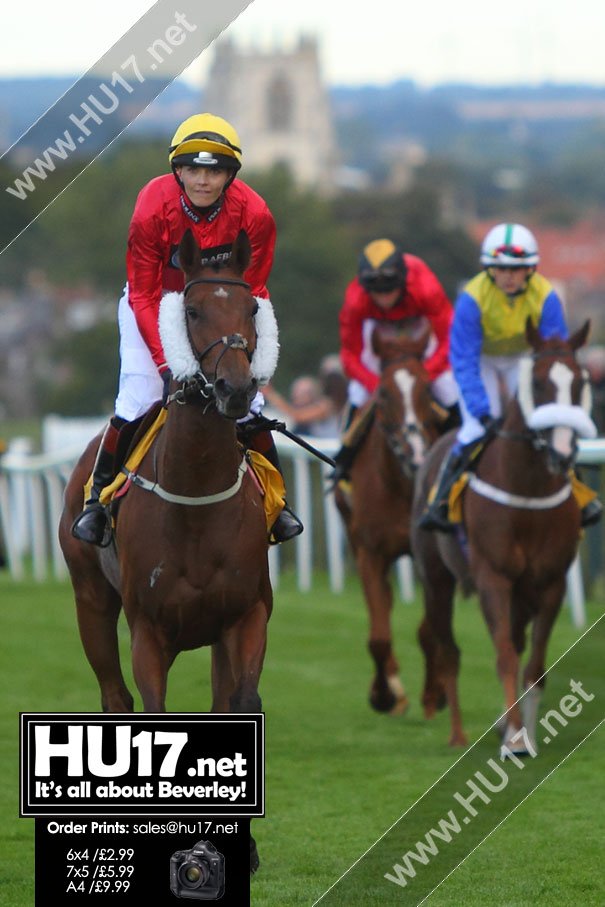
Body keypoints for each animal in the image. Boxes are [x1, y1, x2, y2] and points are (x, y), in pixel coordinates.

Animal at [57, 231, 274, 876]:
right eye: (193, 311)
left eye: (251, 308)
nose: (235, 389)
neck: (196, 496)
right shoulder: (148, 629)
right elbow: (148, 719)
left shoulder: (246, 615)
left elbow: (240, 705)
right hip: (91, 602)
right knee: (114, 697)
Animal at [332, 326, 442, 716]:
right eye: (383, 392)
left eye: (427, 389)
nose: (416, 453)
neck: (401, 484)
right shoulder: (369, 551)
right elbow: (379, 635)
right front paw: (384, 694)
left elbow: (428, 630)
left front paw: (434, 693)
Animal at [410, 320, 596, 752]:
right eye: (540, 383)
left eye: (580, 382)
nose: (562, 452)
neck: (527, 490)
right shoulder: (492, 577)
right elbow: (505, 656)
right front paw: (513, 739)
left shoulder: (550, 582)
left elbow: (535, 662)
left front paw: (523, 733)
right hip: (436, 580)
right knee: (449, 650)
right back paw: (458, 734)